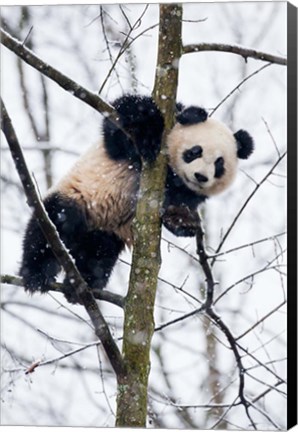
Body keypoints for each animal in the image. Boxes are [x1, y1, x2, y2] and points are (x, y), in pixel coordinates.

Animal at [19, 94, 254, 304]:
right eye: (195, 152)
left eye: (219, 164)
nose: (201, 176)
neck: (172, 173)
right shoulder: (127, 143)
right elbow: (123, 120)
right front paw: (149, 133)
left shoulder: (187, 193)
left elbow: (177, 205)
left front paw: (183, 221)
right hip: (78, 197)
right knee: (52, 226)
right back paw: (36, 274)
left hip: (106, 233)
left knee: (99, 255)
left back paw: (81, 286)